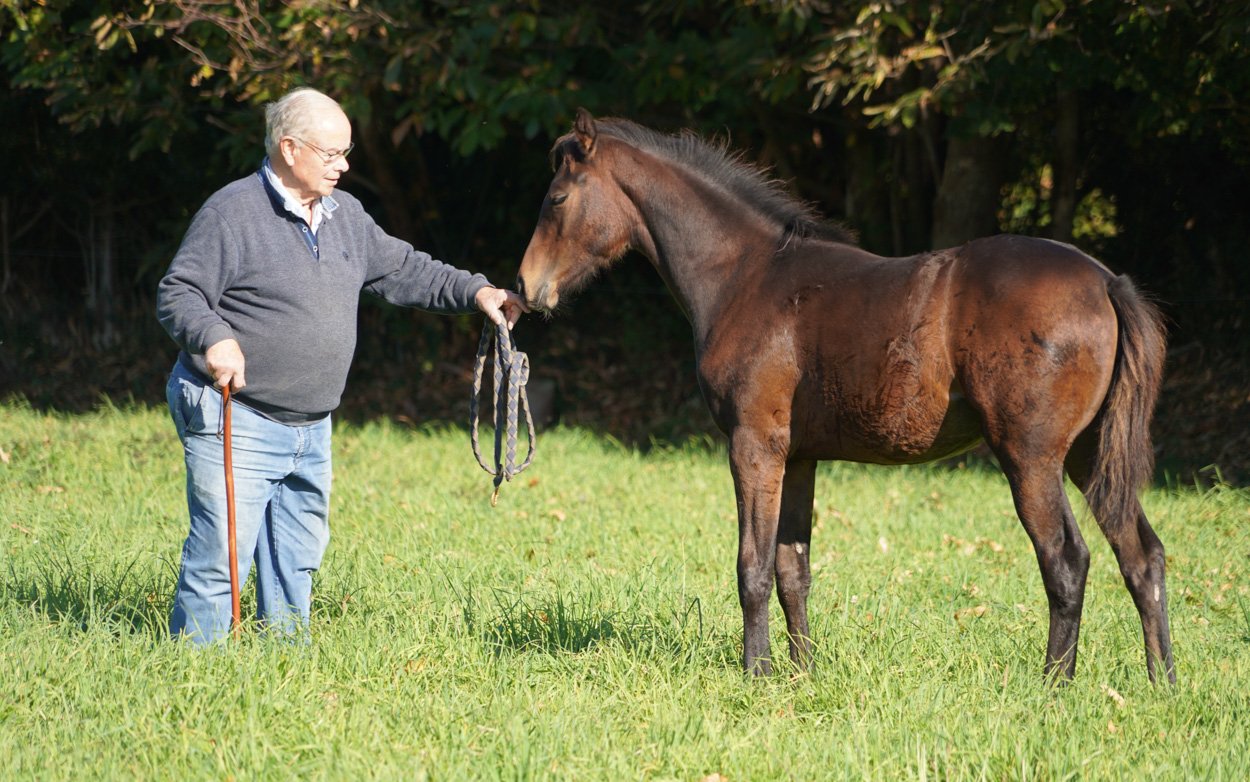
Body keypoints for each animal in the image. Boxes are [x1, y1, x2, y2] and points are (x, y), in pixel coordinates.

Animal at [515, 109, 1174, 684]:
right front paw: (801, 672)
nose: (526, 287)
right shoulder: (798, 457)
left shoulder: (754, 445)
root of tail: (1106, 282)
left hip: (1031, 458)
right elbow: (792, 569)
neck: (744, 276)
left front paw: (756, 674)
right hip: (1090, 456)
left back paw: (1053, 684)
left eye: (557, 199)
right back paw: (1160, 683)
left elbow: (752, 567)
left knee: (1066, 562)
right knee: (1142, 557)